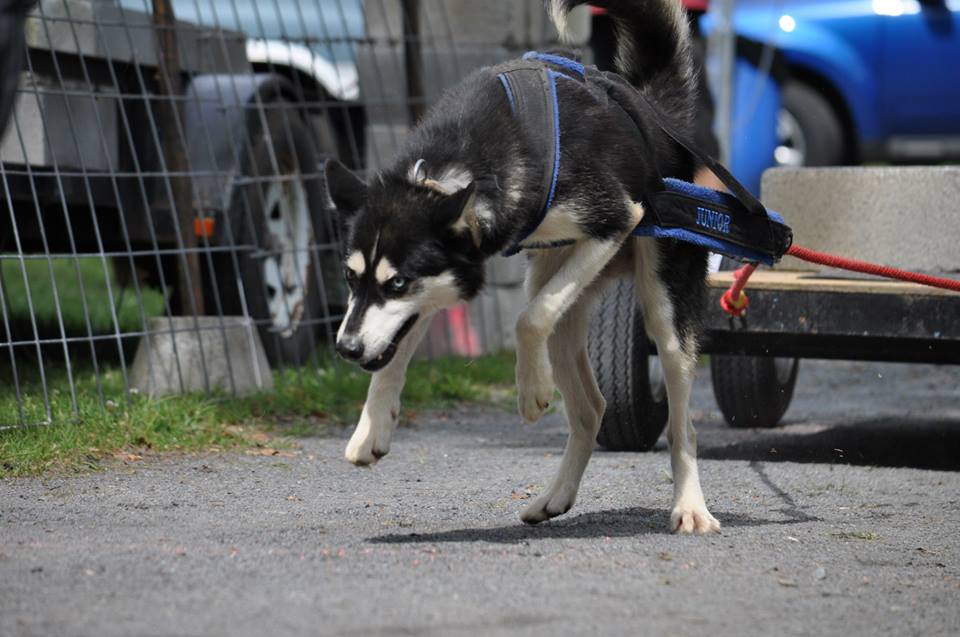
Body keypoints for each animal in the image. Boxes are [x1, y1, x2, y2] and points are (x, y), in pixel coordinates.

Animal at [326, 0, 716, 536]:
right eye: (350, 277)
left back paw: (690, 506)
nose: (345, 348)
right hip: (562, 294)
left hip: (663, 310)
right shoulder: (435, 287)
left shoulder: (616, 218)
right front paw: (373, 426)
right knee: (591, 408)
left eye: (398, 281)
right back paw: (555, 497)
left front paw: (531, 390)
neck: (460, 166)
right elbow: (395, 354)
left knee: (683, 426)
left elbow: (527, 319)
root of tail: (654, 112)